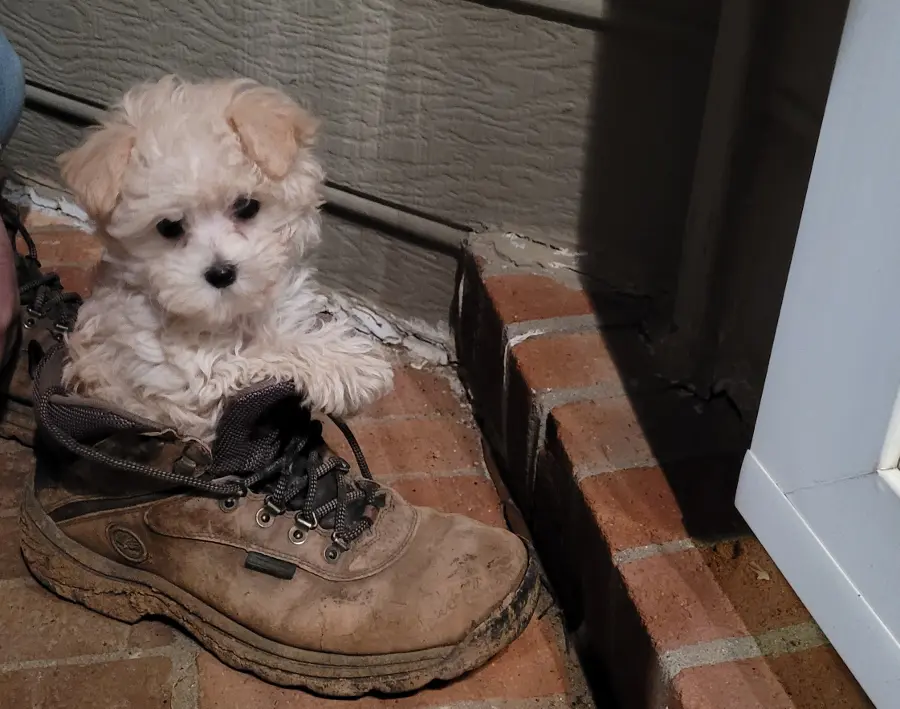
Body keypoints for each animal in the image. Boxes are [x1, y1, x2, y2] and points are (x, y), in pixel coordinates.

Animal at [55, 77, 394, 442]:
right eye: (169, 227)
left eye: (246, 207)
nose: (220, 273)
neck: (229, 317)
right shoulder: (189, 384)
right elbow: (259, 354)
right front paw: (350, 365)